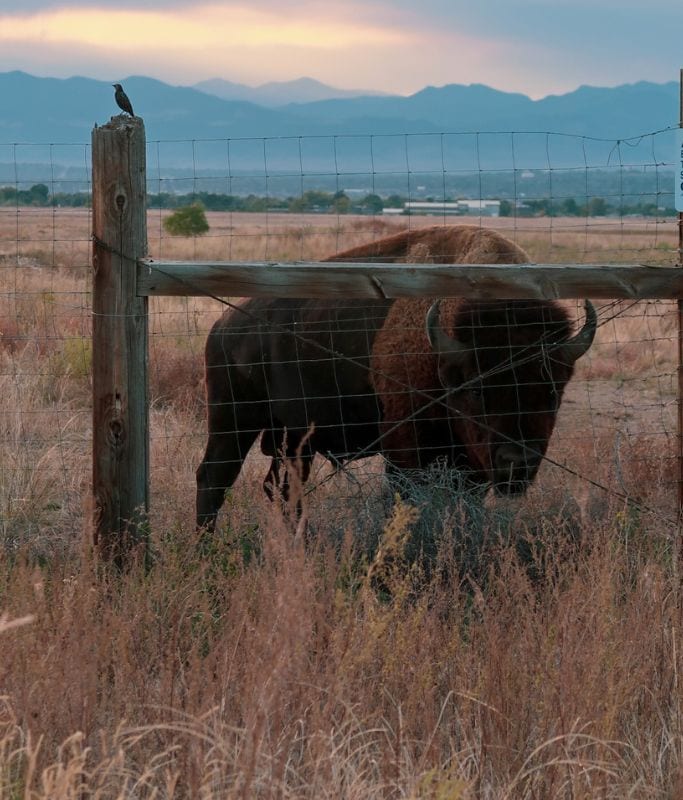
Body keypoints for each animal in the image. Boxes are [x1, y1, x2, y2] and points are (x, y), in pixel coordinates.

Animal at [195, 225, 596, 532]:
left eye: (552, 393)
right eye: (477, 390)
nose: (517, 463)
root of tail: (224, 326)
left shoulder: (470, 463)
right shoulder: (405, 446)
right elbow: (404, 498)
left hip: (291, 438)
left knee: (282, 487)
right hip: (234, 418)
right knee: (214, 477)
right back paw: (207, 548)